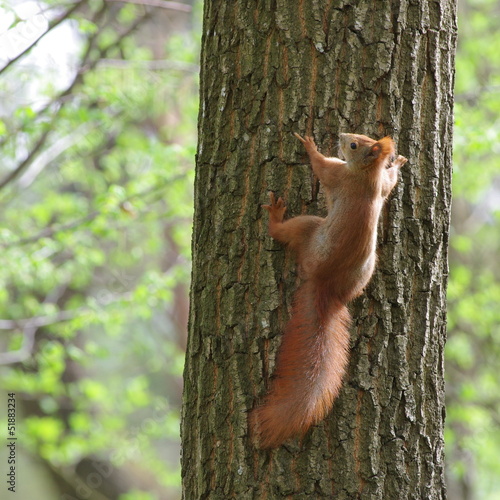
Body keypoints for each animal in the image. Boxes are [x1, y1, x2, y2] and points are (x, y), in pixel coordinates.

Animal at [250, 131, 406, 448]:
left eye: (354, 145)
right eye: (361, 137)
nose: (341, 135)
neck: (365, 173)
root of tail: (325, 283)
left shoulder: (337, 173)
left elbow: (321, 167)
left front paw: (309, 145)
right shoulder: (380, 185)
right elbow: (390, 182)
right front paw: (398, 162)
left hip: (308, 226)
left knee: (282, 232)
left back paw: (275, 216)